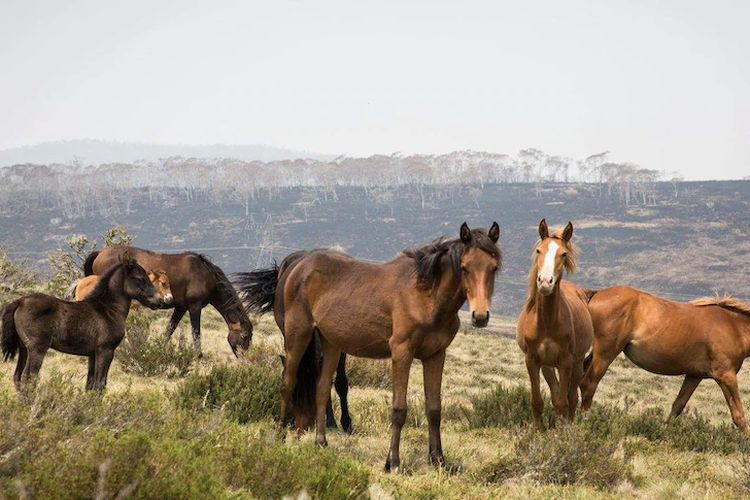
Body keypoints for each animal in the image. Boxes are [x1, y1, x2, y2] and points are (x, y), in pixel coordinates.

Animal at [1, 254, 162, 390]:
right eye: (140, 278)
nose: (160, 301)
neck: (108, 309)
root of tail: (20, 301)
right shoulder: (106, 350)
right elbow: (100, 385)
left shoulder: (92, 354)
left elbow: (90, 385)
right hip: (37, 348)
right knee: (29, 379)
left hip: (23, 348)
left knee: (18, 377)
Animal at [83, 246, 251, 356]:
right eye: (245, 336)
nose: (245, 359)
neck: (205, 274)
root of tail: (100, 253)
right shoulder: (194, 307)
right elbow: (196, 332)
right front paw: (198, 355)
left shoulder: (181, 308)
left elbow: (170, 329)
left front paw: (161, 348)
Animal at [238, 223, 502, 472]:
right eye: (465, 267)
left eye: (494, 267)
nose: (480, 316)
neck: (425, 296)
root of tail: (298, 266)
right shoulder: (402, 354)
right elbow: (399, 409)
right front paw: (392, 462)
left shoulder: (436, 355)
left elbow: (434, 408)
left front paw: (438, 459)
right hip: (297, 336)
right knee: (288, 382)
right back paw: (279, 436)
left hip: (331, 344)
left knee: (322, 388)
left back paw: (321, 441)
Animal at [516, 219, 592, 426]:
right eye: (538, 250)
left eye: (564, 253)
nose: (545, 282)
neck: (547, 323)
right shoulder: (532, 360)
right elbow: (538, 401)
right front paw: (539, 429)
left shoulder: (565, 362)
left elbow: (562, 403)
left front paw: (561, 430)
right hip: (548, 366)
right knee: (556, 391)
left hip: (577, 363)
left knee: (572, 397)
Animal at [580, 290, 750, 434]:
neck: (733, 327)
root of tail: (595, 294)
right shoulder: (726, 376)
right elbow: (739, 415)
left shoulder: (694, 376)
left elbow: (678, 405)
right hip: (606, 354)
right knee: (589, 384)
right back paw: (584, 423)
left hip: (597, 354)